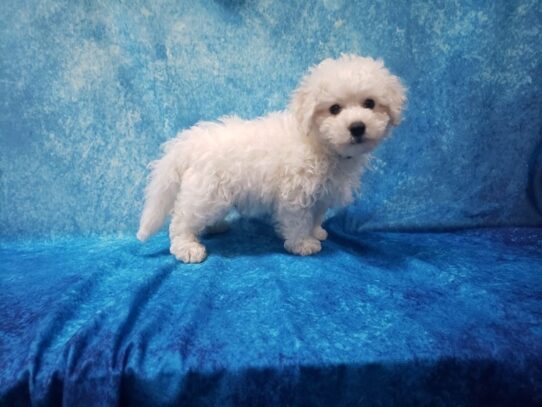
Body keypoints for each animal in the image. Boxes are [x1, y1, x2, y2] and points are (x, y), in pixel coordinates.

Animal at [138, 55, 406, 264]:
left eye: (370, 103)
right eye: (334, 109)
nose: (357, 127)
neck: (317, 142)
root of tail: (188, 143)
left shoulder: (320, 193)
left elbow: (316, 215)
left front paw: (317, 232)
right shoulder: (296, 193)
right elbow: (298, 221)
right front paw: (302, 243)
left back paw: (214, 227)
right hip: (206, 193)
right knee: (181, 220)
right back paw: (187, 247)